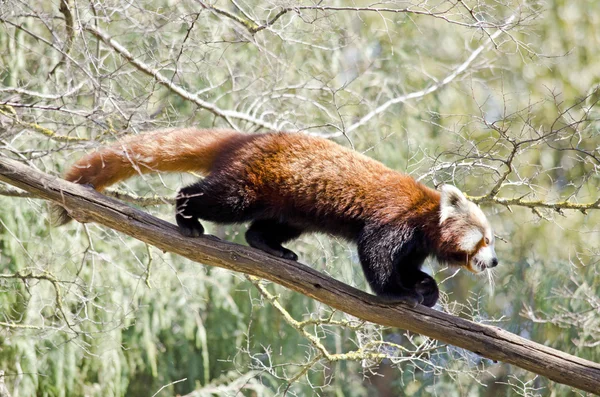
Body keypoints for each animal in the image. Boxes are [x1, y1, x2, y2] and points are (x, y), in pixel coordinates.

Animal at [54, 128, 496, 308]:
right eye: (485, 240)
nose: (493, 262)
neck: (425, 216)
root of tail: (248, 138)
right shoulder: (393, 220)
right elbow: (375, 255)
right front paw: (398, 294)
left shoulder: (415, 244)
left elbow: (408, 266)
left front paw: (426, 288)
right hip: (248, 187)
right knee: (216, 198)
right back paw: (186, 218)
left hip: (292, 205)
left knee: (270, 226)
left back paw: (271, 247)